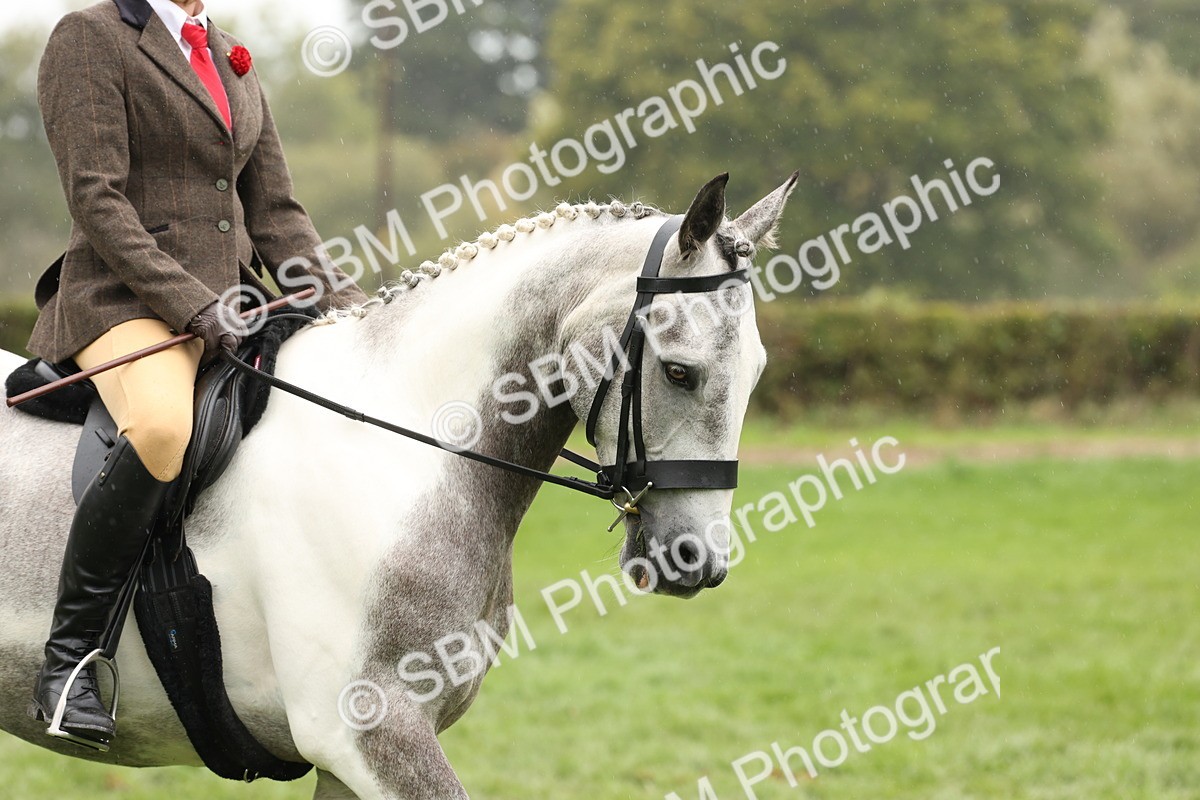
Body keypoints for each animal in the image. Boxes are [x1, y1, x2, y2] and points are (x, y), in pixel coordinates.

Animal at [0, 171, 796, 799]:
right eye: (680, 372)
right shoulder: (370, 732)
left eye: (758, 371)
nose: (696, 560)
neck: (407, 442)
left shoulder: (351, 760)